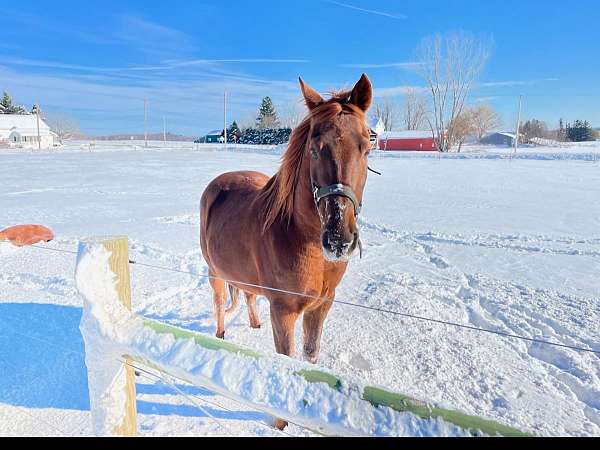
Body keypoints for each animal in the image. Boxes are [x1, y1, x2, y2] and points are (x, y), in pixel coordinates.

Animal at [199, 74, 372, 366]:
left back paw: (255, 324)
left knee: (248, 293)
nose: (338, 239)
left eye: (367, 148)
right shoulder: (283, 312)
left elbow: (310, 354)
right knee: (220, 302)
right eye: (313, 149)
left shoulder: (321, 306)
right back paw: (220, 335)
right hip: (215, 273)